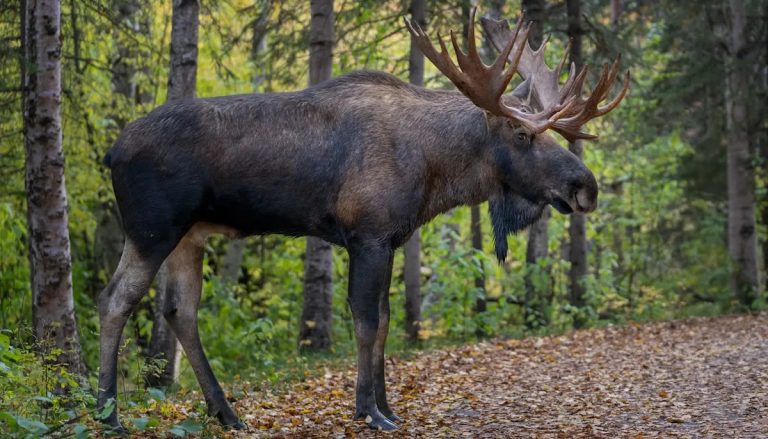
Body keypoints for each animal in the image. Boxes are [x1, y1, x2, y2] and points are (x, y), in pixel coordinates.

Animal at [96, 8, 628, 432]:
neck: (435, 171)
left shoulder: (391, 239)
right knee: (116, 299)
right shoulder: (366, 234)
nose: (586, 186)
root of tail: (111, 152)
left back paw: (225, 413)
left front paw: (387, 406)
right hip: (152, 228)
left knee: (180, 311)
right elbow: (367, 321)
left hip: (191, 236)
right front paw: (369, 411)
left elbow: (388, 320)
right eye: (522, 134)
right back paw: (109, 414)